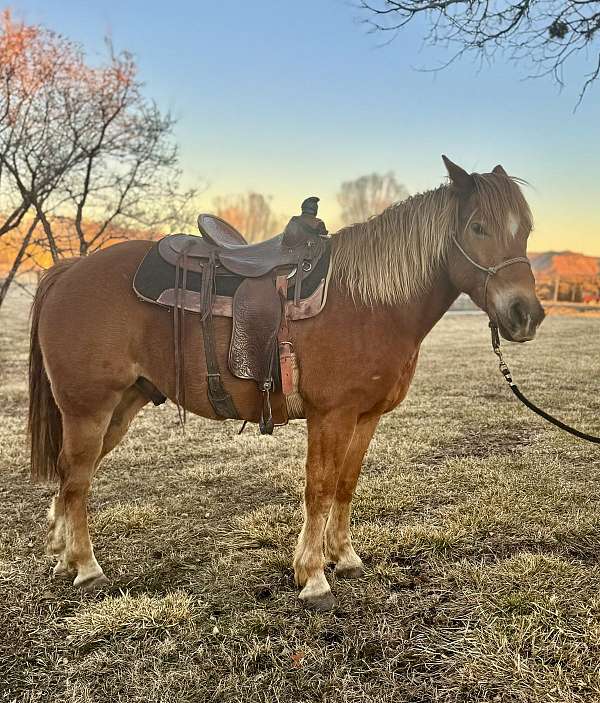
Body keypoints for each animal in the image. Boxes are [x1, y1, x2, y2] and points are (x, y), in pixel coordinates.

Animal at [28, 156, 544, 610]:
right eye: (477, 227)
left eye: (525, 230)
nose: (526, 314)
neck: (369, 302)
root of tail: (69, 270)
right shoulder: (330, 415)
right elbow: (319, 488)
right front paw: (313, 577)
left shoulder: (366, 416)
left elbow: (346, 484)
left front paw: (345, 558)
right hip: (89, 408)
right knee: (77, 479)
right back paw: (86, 567)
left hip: (122, 405)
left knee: (70, 475)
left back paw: (62, 557)